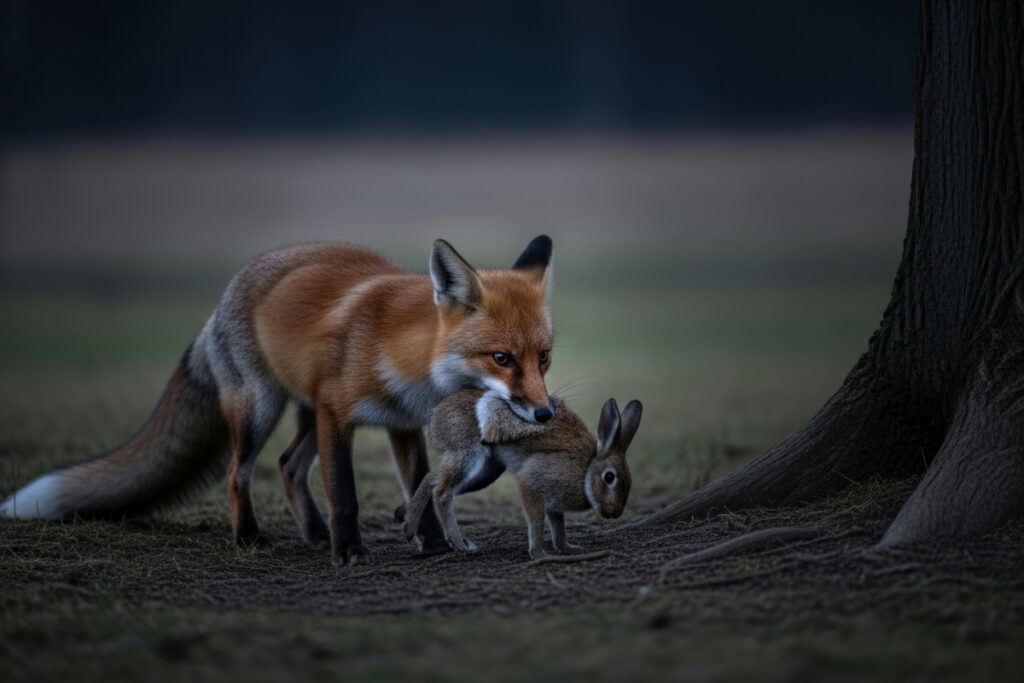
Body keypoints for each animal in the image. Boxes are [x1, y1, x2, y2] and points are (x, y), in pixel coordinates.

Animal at [0, 236, 555, 565]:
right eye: (502, 358)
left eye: (544, 358)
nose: (545, 412)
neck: (407, 360)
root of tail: (222, 300)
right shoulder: (337, 414)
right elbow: (345, 493)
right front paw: (349, 552)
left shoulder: (403, 424)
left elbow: (420, 482)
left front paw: (433, 543)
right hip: (260, 410)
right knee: (238, 472)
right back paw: (249, 537)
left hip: (302, 414)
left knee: (288, 465)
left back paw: (313, 533)